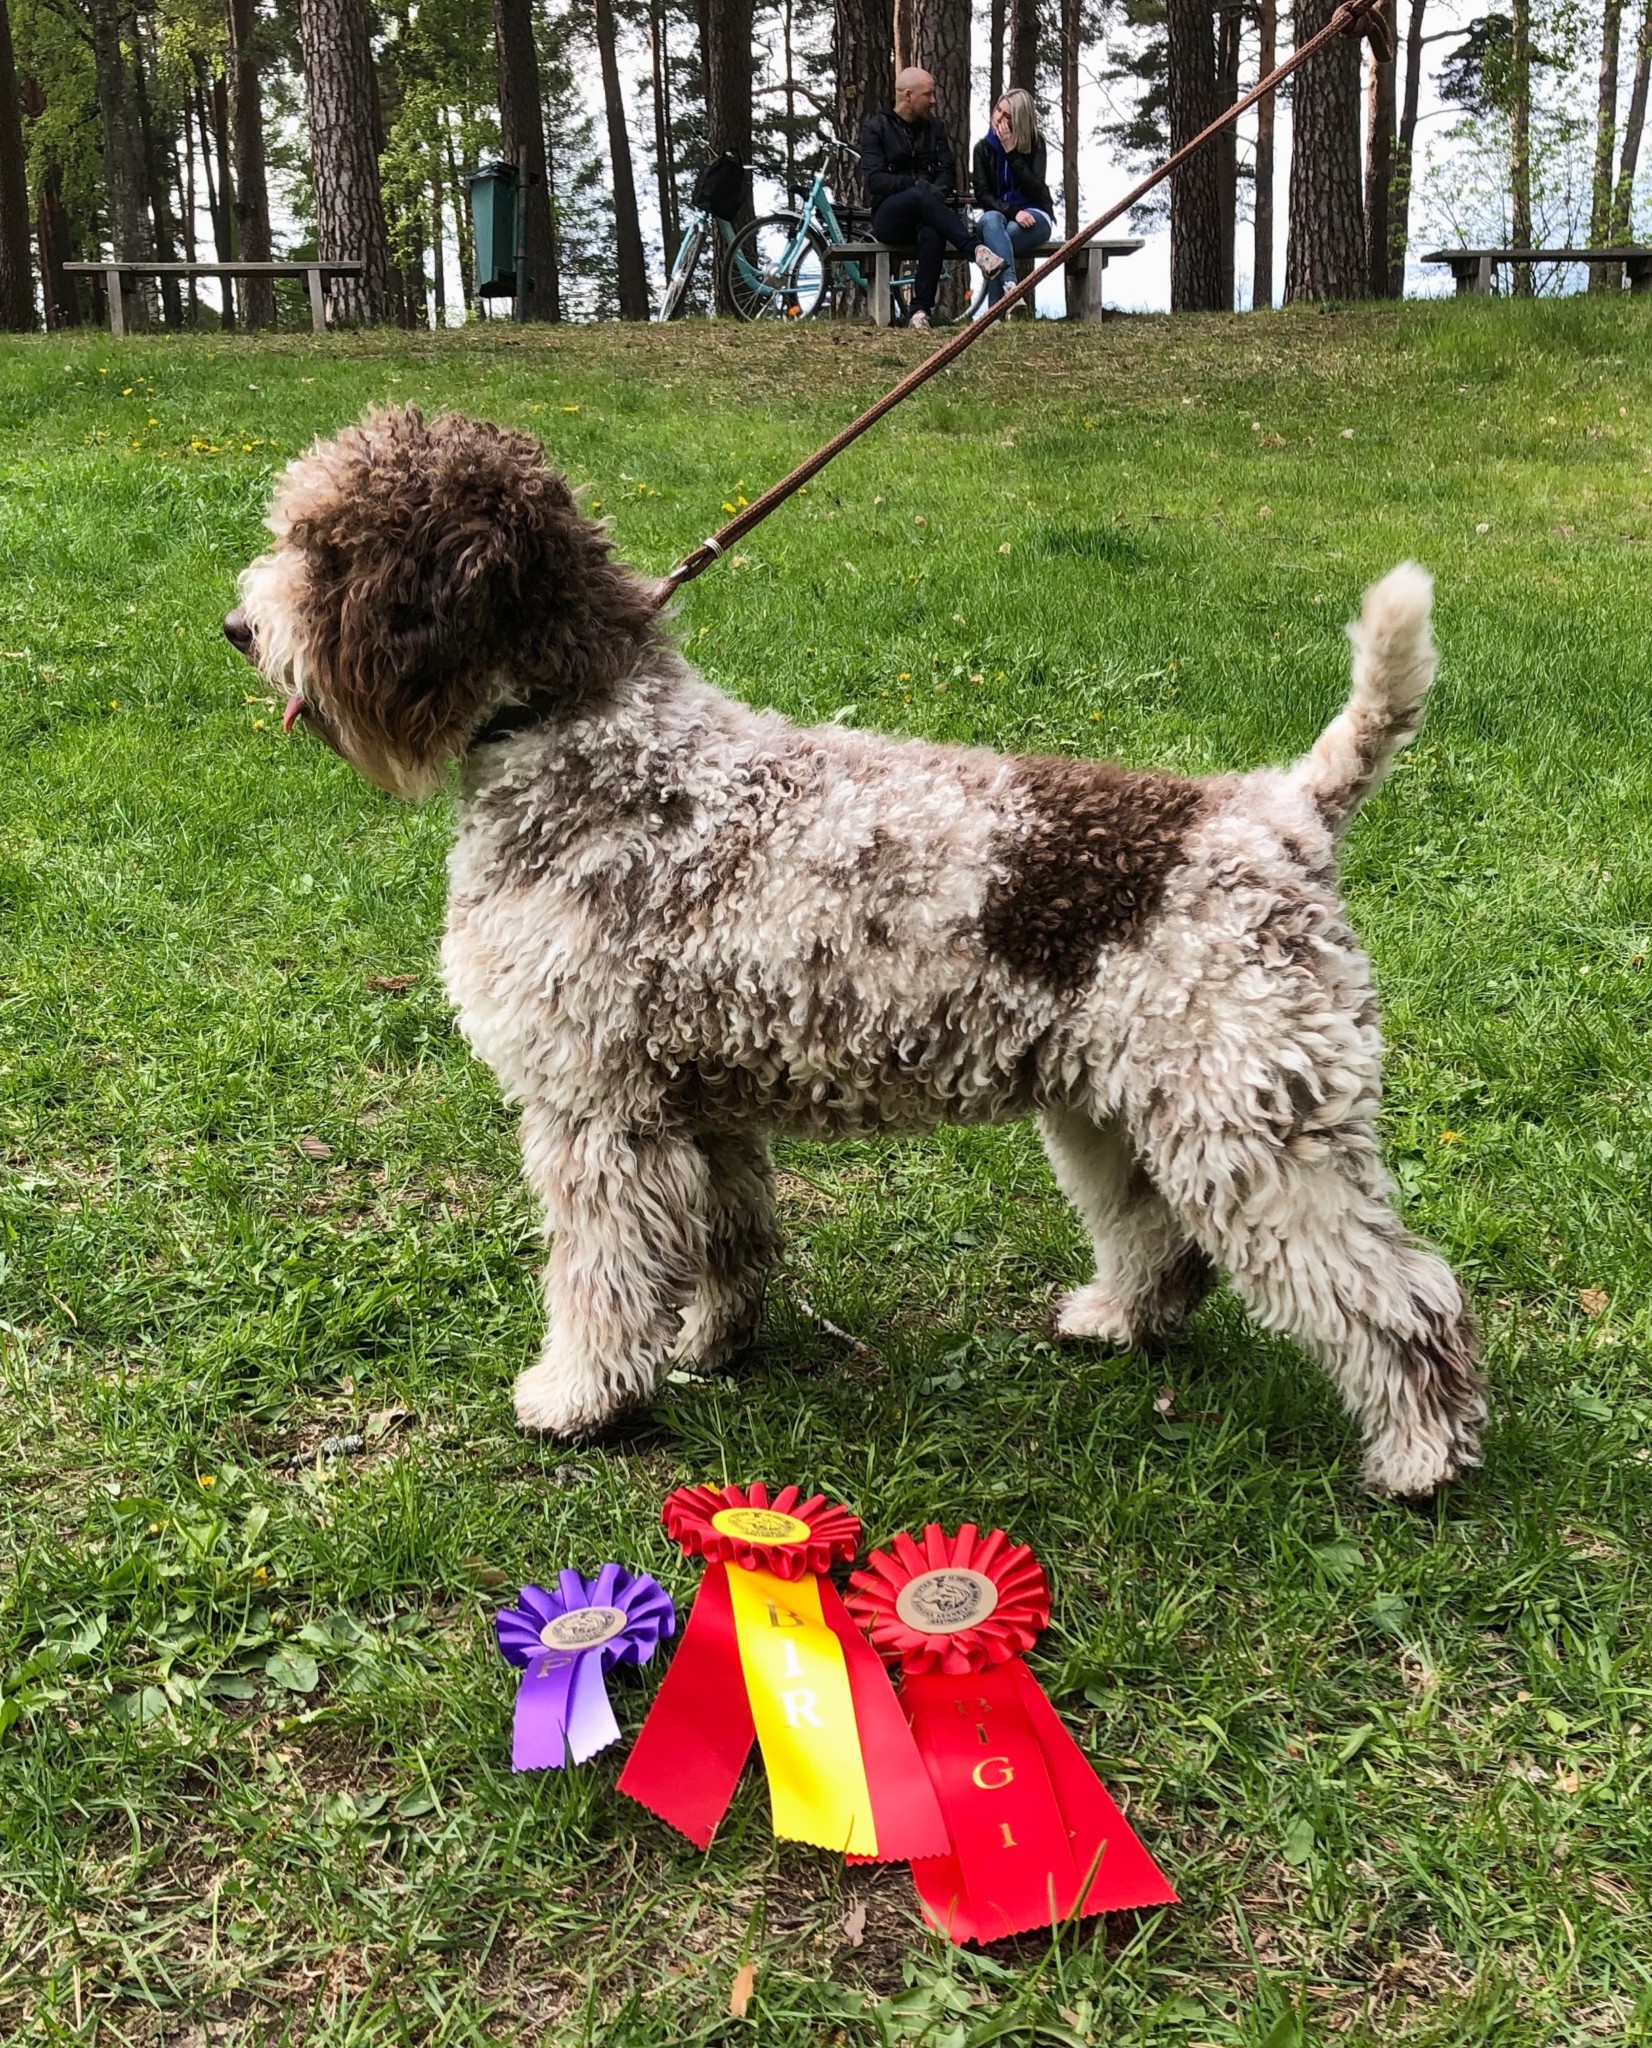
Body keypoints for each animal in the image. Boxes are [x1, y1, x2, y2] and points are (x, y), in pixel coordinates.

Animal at [229, 403, 1482, 1490]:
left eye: (325, 547)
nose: (240, 628)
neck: (586, 741)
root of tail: (1283, 812)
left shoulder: (596, 1107)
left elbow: (600, 1275)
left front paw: (580, 1396)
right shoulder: (696, 1102)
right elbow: (726, 1242)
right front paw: (710, 1345)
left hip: (1256, 1125)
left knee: (1399, 1295)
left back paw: (1420, 1459)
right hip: (1118, 1107)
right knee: (1161, 1240)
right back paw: (1115, 1320)